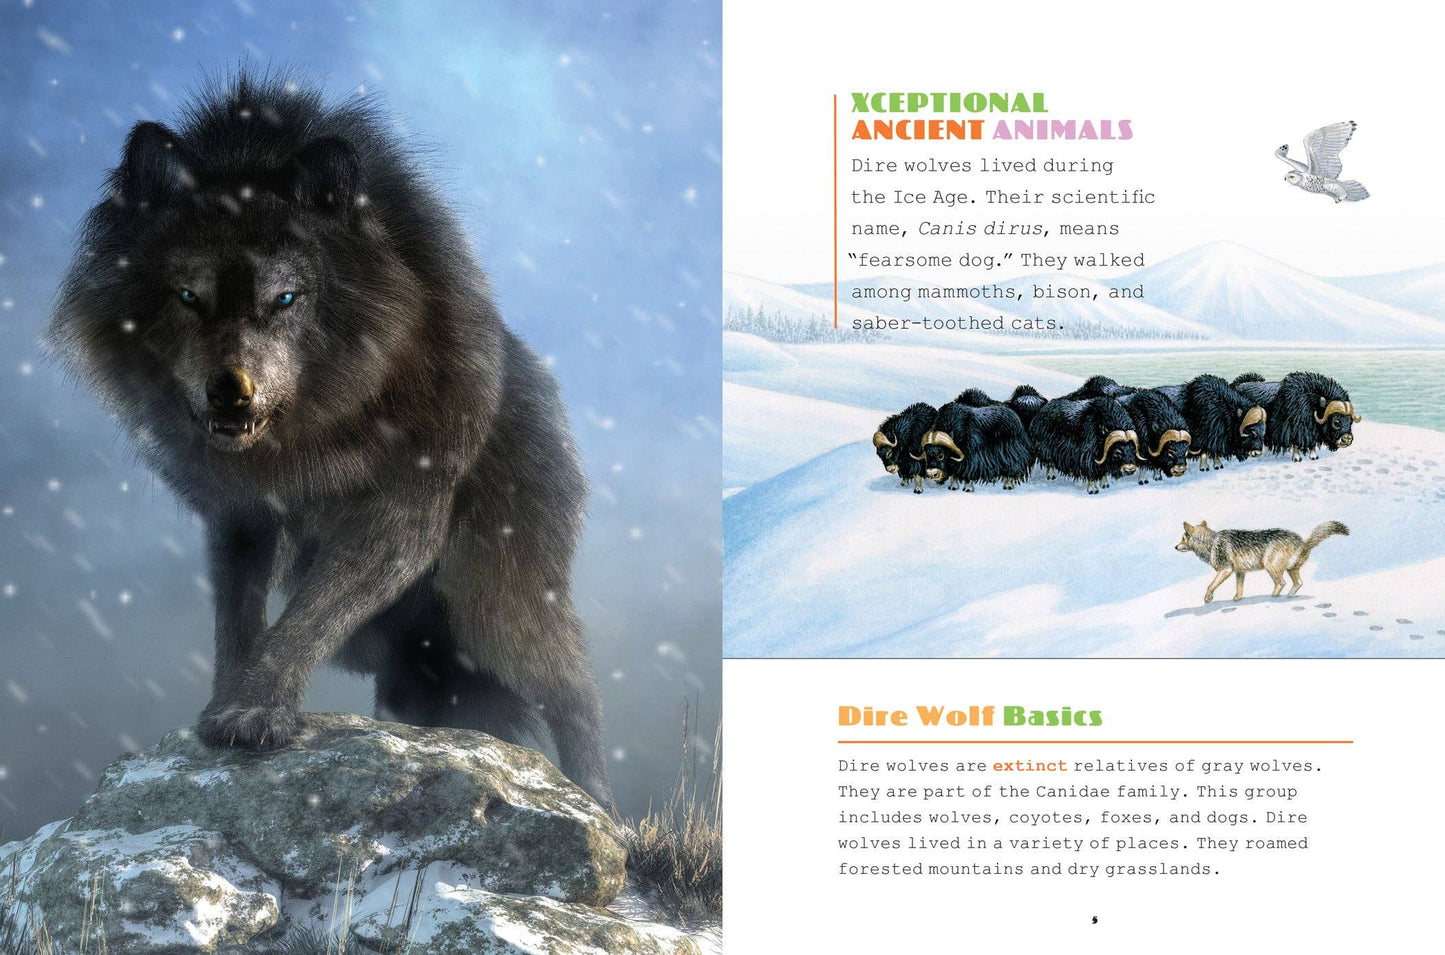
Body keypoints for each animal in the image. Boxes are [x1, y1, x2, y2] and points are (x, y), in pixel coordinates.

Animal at [45, 72, 612, 804]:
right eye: (189, 296)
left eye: (285, 298)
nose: (231, 391)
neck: (310, 432)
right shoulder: (240, 518)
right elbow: (239, 623)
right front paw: (226, 707)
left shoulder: (401, 515)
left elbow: (307, 617)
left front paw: (256, 712)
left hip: (492, 608)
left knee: (574, 689)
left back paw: (600, 803)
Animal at [1175, 520, 1349, 604]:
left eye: (1183, 538)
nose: (1175, 547)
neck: (1211, 542)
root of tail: (1303, 542)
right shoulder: (1240, 572)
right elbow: (1239, 588)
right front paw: (1237, 598)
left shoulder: (1225, 571)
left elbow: (1210, 585)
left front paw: (1207, 598)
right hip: (1291, 569)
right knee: (1298, 583)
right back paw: (1289, 596)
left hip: (1271, 568)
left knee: (1281, 583)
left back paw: (1274, 596)